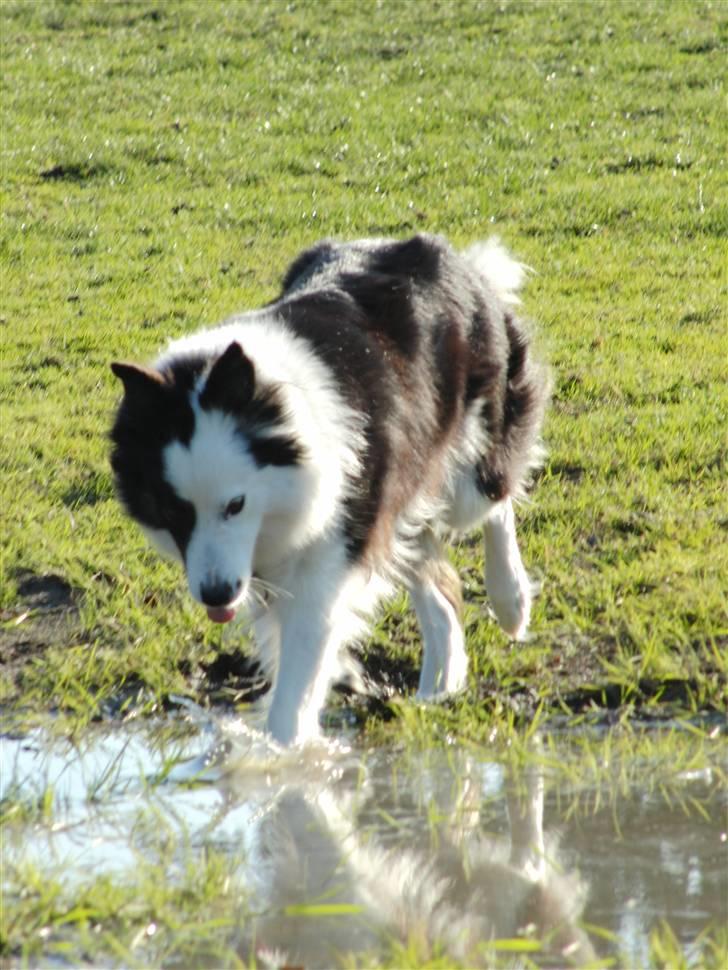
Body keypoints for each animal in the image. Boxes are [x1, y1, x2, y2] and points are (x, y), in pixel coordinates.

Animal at [111, 233, 548, 740]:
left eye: (236, 504)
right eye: (172, 512)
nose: (216, 595)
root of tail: (450, 256)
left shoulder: (329, 551)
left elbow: (298, 685)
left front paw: (287, 750)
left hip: (462, 466)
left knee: (495, 499)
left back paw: (511, 600)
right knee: (436, 578)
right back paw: (441, 683)